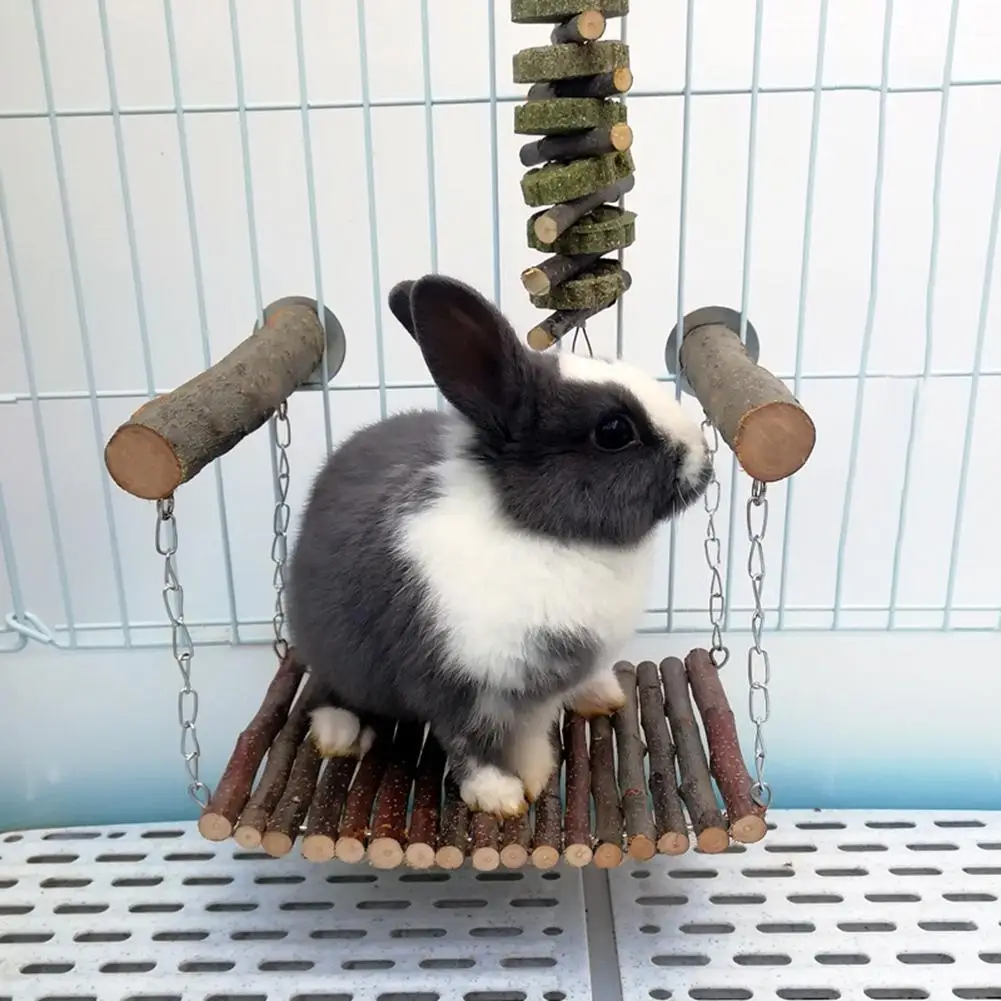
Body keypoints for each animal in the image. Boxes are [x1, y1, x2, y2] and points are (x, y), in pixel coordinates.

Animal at [286, 273, 713, 819]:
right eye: (615, 431)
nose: (705, 459)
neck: (548, 537)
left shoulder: (539, 687)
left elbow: (532, 732)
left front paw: (536, 774)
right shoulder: (455, 681)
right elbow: (467, 744)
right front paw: (501, 796)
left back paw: (599, 692)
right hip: (328, 644)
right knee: (328, 686)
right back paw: (340, 731)